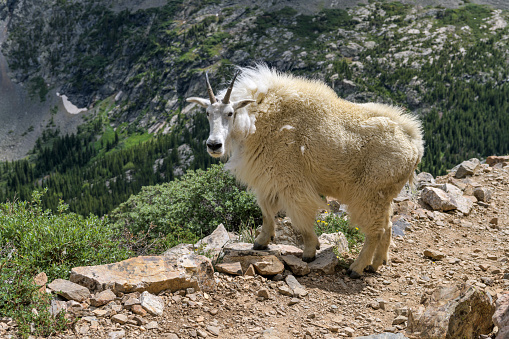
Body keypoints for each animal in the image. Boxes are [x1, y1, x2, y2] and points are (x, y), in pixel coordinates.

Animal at [185, 65, 422, 278]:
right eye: (207, 113)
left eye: (230, 113)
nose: (214, 145)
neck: (257, 120)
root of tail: (415, 146)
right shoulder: (269, 179)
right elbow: (266, 211)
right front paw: (261, 242)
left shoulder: (291, 180)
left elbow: (301, 217)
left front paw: (309, 252)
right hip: (384, 195)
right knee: (388, 225)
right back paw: (377, 263)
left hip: (369, 194)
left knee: (375, 231)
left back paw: (357, 268)